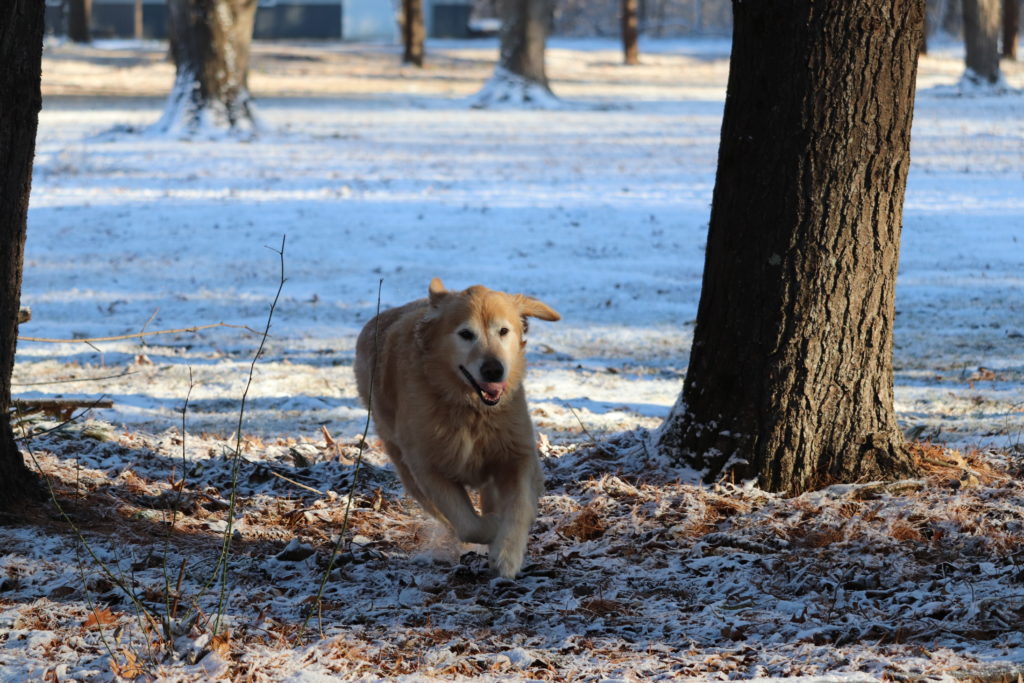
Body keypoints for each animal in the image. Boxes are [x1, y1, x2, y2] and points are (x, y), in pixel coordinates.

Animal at [352, 278, 561, 577]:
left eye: (503, 331)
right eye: (465, 334)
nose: (494, 370)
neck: (470, 408)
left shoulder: (515, 453)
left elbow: (519, 505)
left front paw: (506, 553)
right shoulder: (427, 468)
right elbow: (468, 523)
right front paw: (493, 529)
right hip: (403, 461)